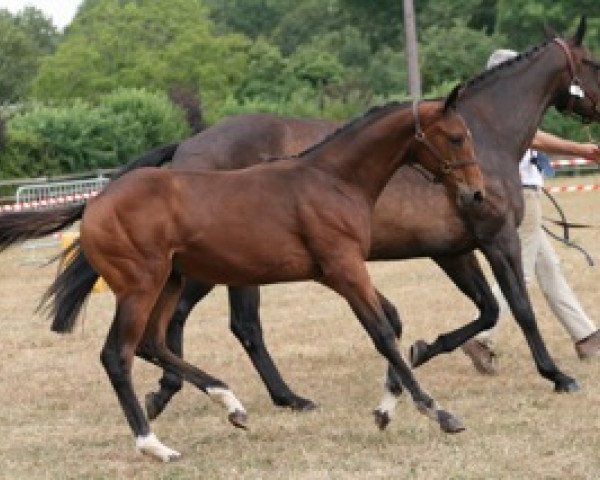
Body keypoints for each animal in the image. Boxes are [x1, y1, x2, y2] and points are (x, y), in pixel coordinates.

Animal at [32, 94, 482, 462]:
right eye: (456, 138)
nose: (475, 194)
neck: (333, 180)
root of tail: (94, 201)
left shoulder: (335, 272)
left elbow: (392, 321)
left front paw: (386, 410)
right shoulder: (345, 268)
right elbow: (382, 333)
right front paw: (439, 413)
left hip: (170, 281)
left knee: (152, 343)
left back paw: (229, 403)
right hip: (142, 285)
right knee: (118, 355)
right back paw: (155, 445)